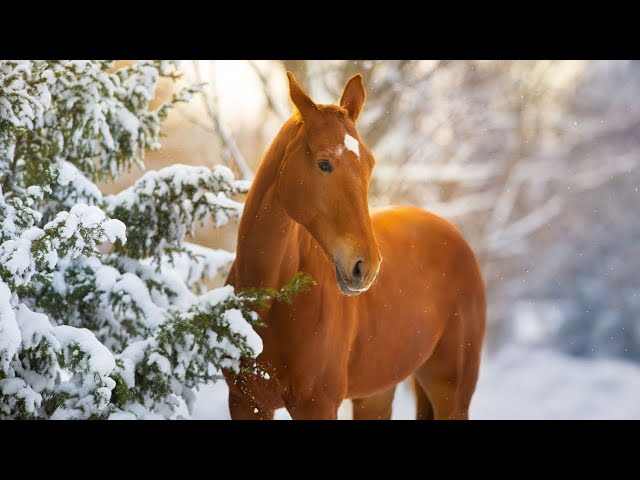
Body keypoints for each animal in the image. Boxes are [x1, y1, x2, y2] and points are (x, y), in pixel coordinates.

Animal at [222, 71, 488, 420]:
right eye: (324, 163)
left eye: (370, 164)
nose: (367, 267)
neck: (269, 302)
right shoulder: (245, 402)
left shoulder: (317, 406)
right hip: (377, 393)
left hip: (451, 391)